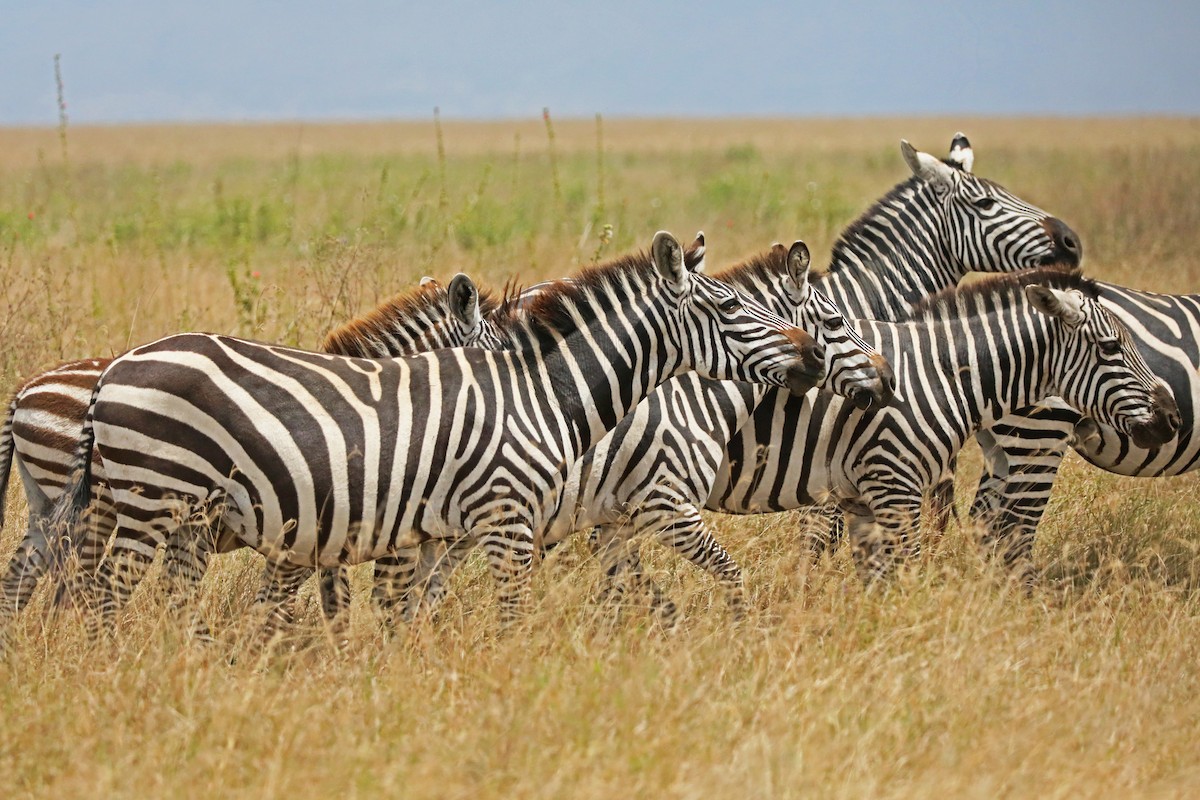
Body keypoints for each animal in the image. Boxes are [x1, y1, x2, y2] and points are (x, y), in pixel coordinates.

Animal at [704, 268, 1180, 577]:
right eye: (1111, 347)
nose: (1172, 418)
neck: (937, 375)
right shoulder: (894, 484)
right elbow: (907, 573)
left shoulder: (864, 495)